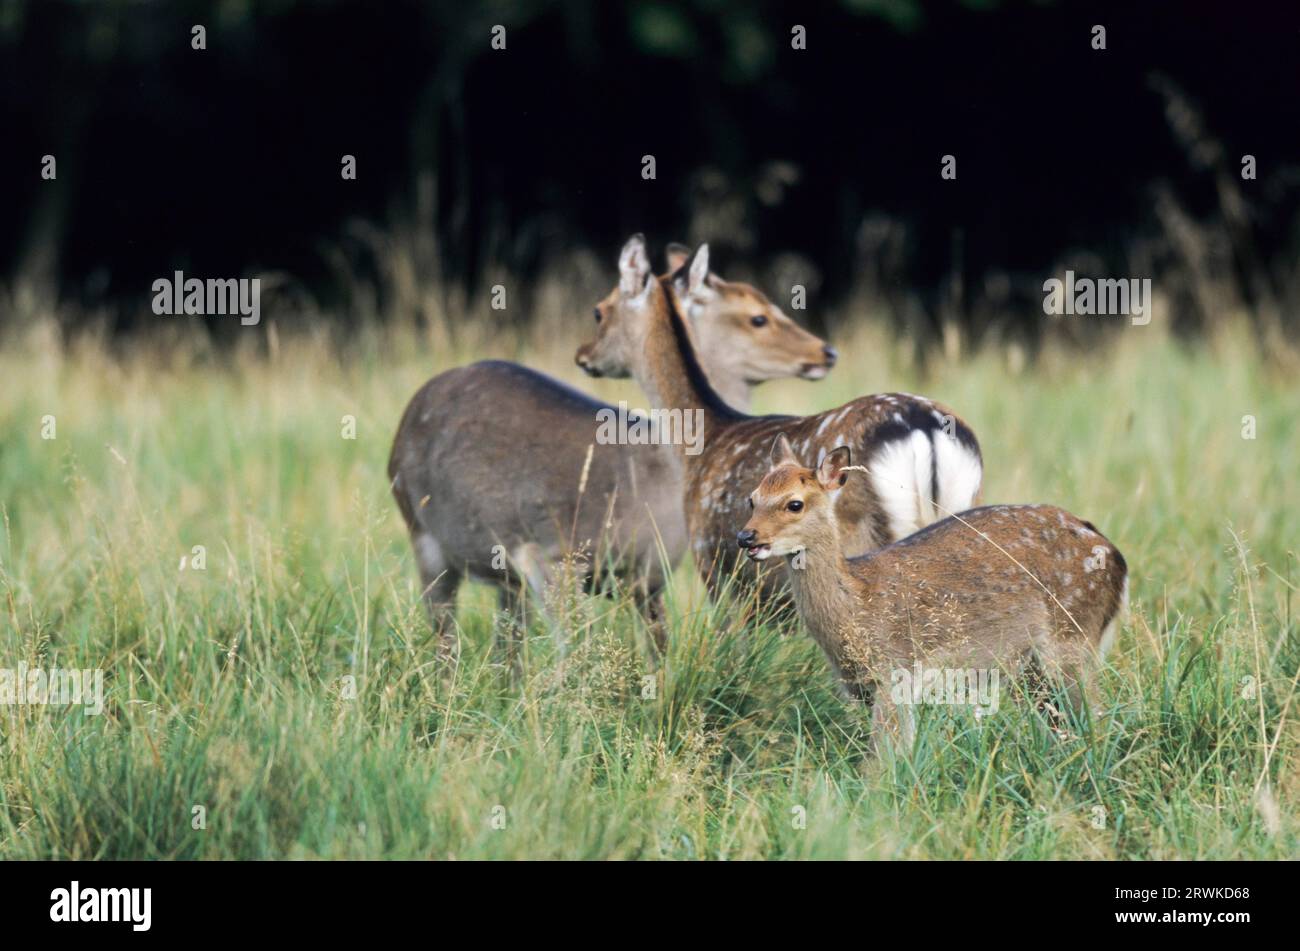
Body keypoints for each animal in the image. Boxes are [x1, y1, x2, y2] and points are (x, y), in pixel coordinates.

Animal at [384, 241, 832, 657]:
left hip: (502, 577)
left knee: (505, 651)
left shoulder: (650, 577)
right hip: (422, 535)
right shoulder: (553, 555)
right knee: (448, 642)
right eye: (757, 317)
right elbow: (577, 657)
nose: (827, 352)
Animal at [743, 436, 1128, 743]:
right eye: (752, 499)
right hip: (1032, 668)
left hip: (1073, 639)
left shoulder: (896, 673)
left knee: (1097, 718)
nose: (746, 536)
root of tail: (1117, 559)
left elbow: (884, 761)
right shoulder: (861, 688)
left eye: (794, 503)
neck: (858, 604)